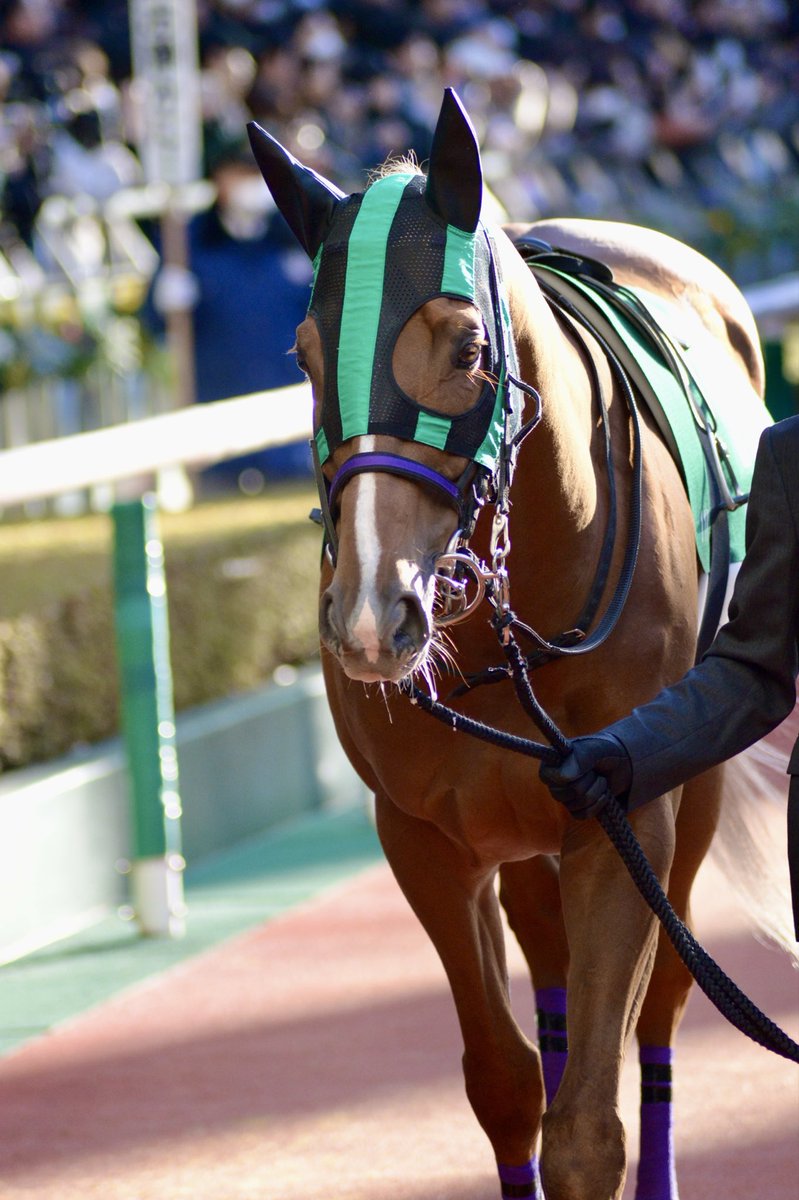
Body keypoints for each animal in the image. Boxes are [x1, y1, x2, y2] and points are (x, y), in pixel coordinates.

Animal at [248, 90, 776, 1200]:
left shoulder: (624, 808)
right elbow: (503, 1080)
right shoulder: (423, 836)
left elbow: (586, 1125)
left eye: (463, 350)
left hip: (692, 788)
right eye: (306, 357)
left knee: (663, 1003)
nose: (372, 615)